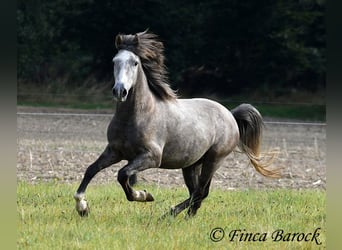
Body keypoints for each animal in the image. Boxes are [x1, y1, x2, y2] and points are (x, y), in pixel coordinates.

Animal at [74, 30, 278, 218]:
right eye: (114, 61)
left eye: (135, 63)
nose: (120, 91)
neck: (136, 117)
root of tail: (230, 114)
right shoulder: (114, 151)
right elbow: (91, 170)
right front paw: (82, 207)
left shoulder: (151, 157)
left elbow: (123, 174)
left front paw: (144, 195)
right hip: (191, 164)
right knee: (197, 192)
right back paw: (178, 215)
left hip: (214, 160)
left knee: (200, 191)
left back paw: (172, 215)